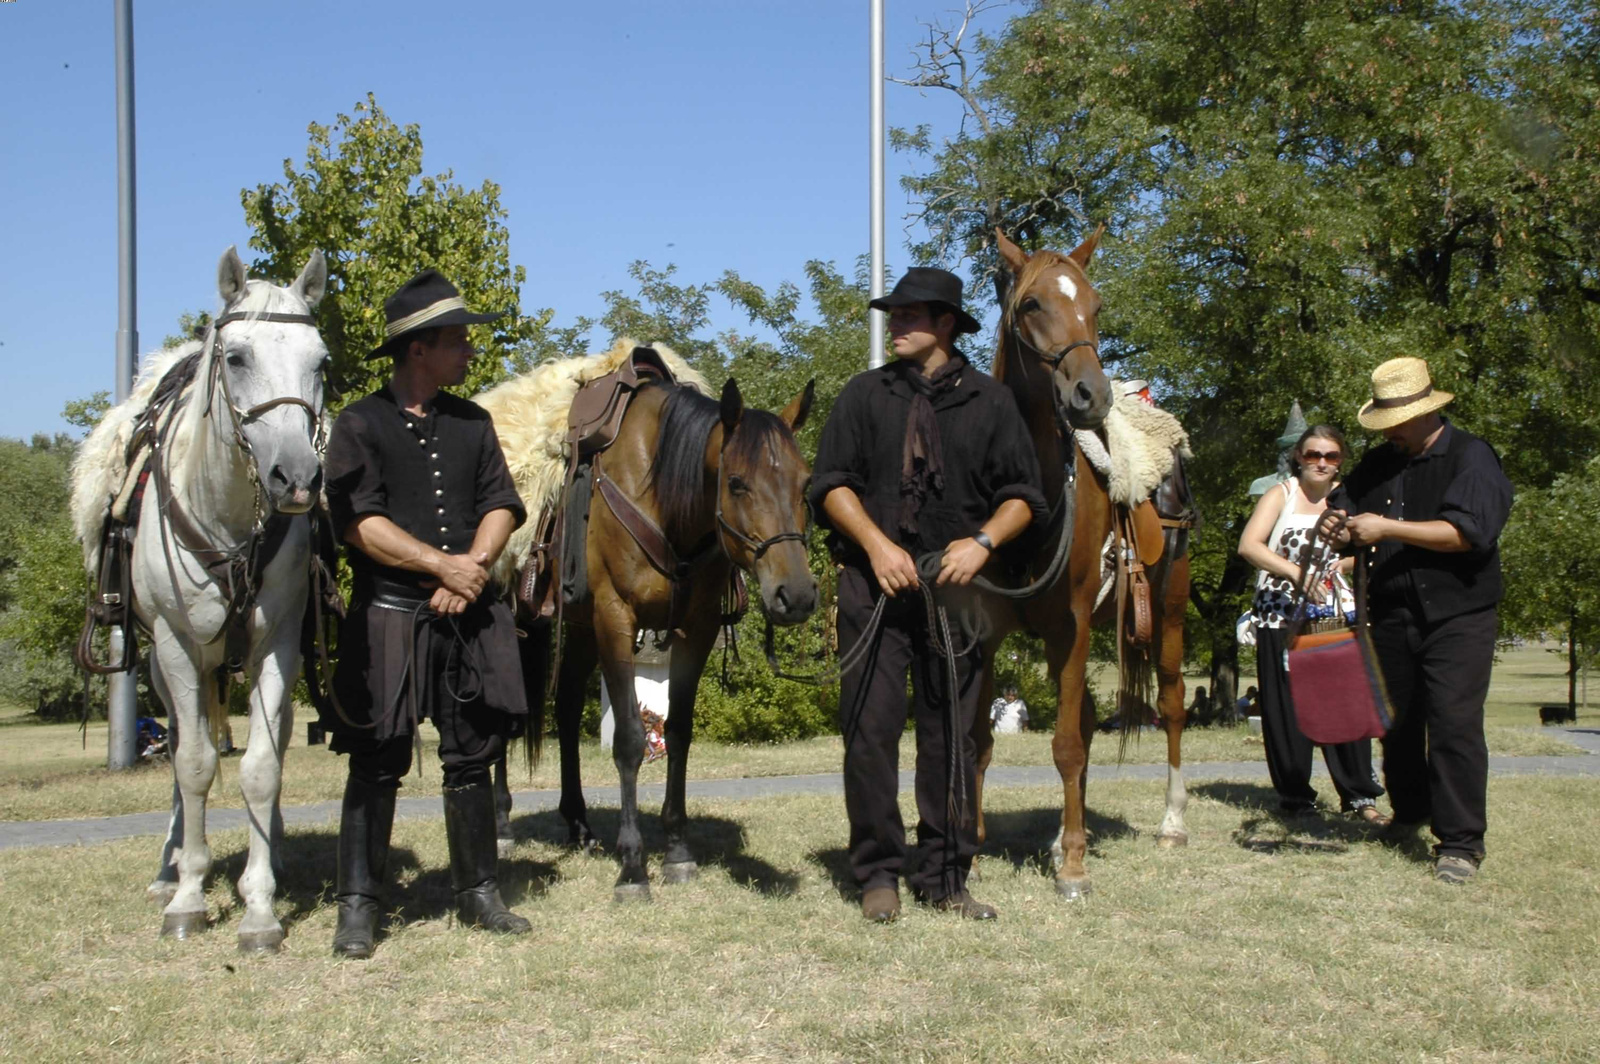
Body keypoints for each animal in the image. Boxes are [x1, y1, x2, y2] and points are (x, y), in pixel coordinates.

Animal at [72, 246, 328, 947]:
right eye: (235, 357)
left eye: (320, 361)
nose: (297, 476)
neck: (229, 522)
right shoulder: (178, 646)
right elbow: (191, 764)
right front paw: (188, 895)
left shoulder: (278, 645)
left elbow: (262, 766)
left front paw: (260, 903)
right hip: (163, 666)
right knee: (182, 761)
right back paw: (172, 865)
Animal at [521, 372, 819, 896]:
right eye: (737, 483)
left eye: (804, 483)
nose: (797, 594)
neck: (662, 498)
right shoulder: (616, 620)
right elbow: (631, 740)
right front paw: (632, 865)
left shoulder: (694, 629)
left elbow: (677, 732)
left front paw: (677, 849)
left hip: (579, 629)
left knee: (568, 708)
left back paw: (579, 825)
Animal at [972, 225, 1190, 896]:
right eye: (1030, 304)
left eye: (1096, 305)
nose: (1089, 394)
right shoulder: (989, 633)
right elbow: (980, 742)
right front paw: (972, 845)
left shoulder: (1069, 628)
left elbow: (1066, 743)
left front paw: (1071, 866)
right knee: (1093, 719)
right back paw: (1077, 828)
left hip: (1167, 613)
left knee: (1171, 705)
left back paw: (1170, 822)